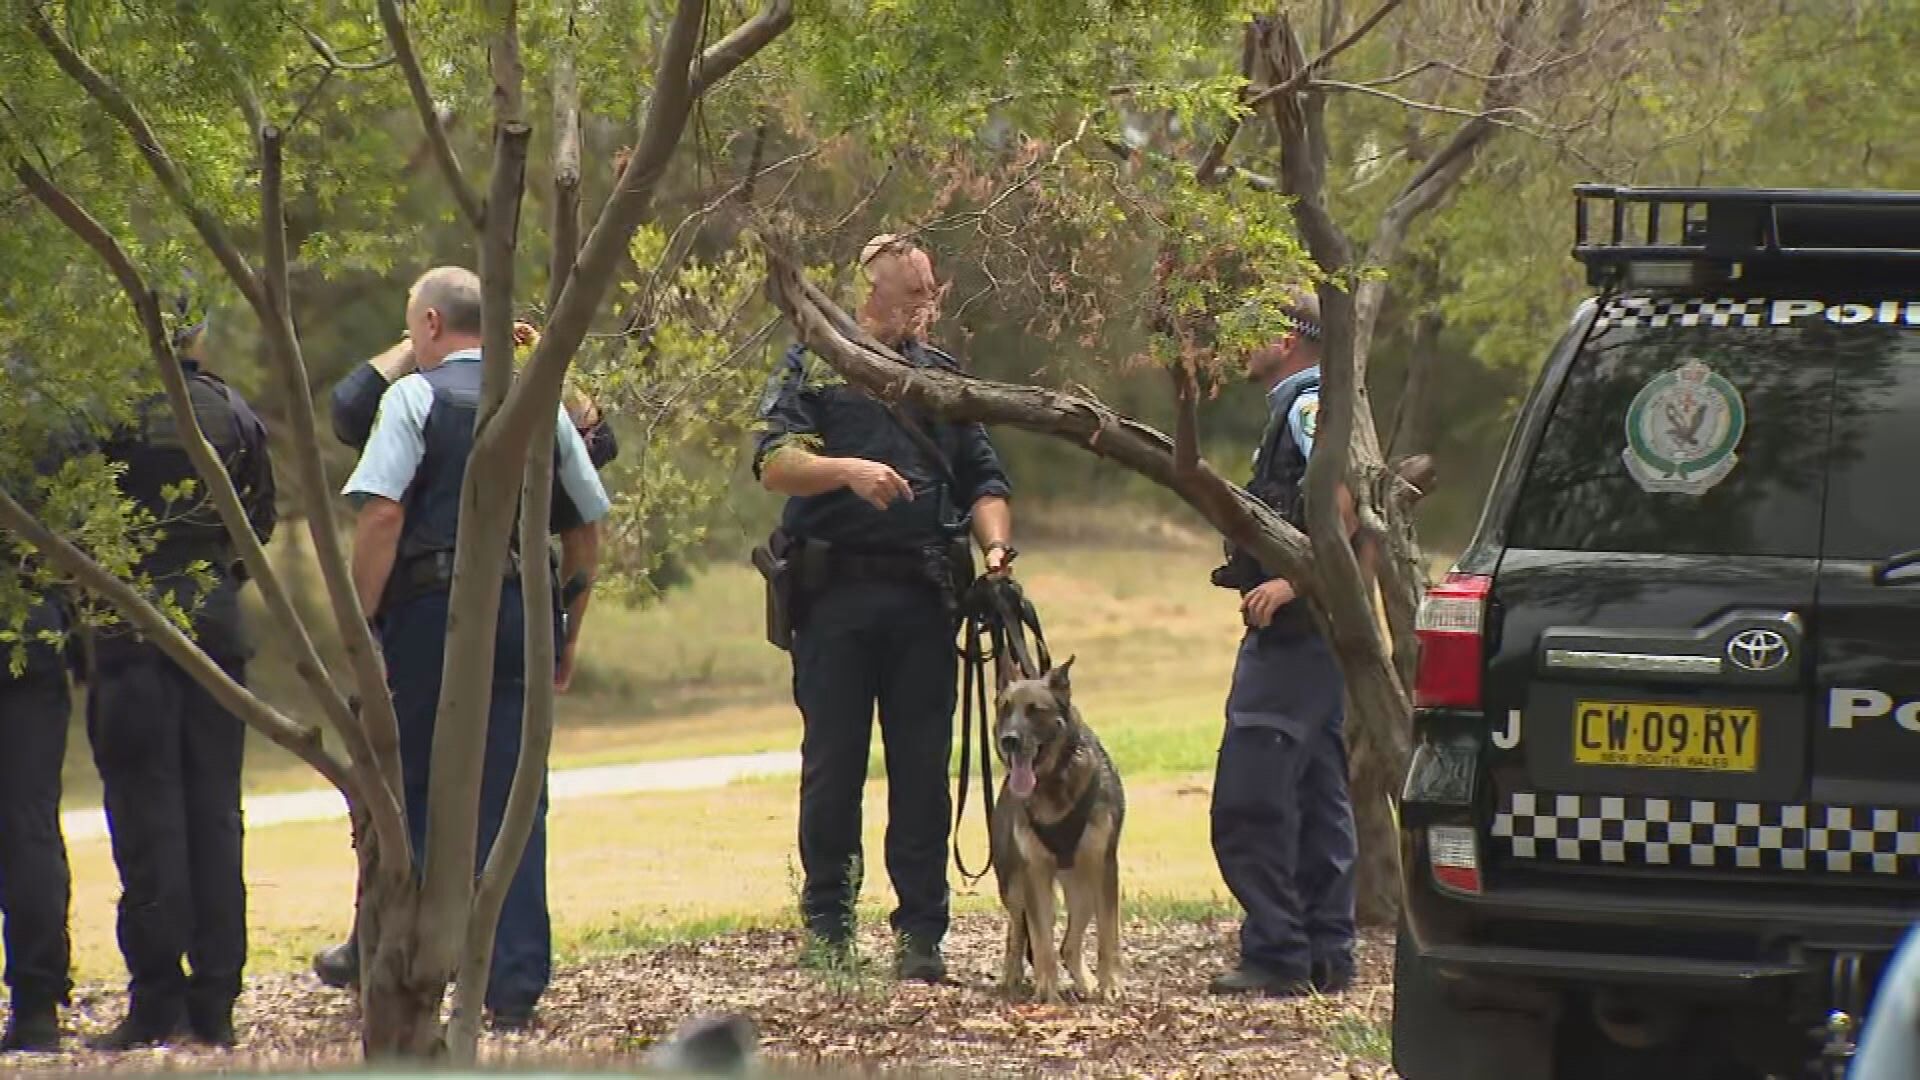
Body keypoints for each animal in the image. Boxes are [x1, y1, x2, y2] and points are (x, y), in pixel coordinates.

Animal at [990, 657, 1121, 999]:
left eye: (1036, 710)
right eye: (1005, 709)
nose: (1008, 741)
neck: (1053, 781)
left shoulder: (1104, 865)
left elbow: (1107, 935)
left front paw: (1110, 985)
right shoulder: (1034, 871)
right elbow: (1041, 940)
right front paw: (1047, 992)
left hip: (1083, 885)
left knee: (1069, 945)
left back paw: (1086, 983)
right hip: (1013, 885)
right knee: (1017, 933)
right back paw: (1012, 976)